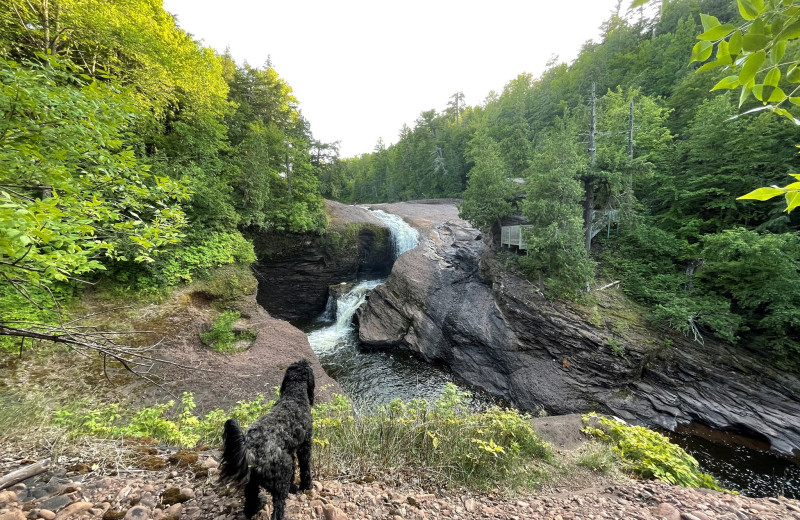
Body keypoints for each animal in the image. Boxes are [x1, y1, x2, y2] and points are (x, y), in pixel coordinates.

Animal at [223, 360, 318, 516]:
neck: (293, 397)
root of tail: (250, 449)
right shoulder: (304, 445)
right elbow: (305, 468)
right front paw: (306, 485)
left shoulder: (289, 450)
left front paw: (294, 486)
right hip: (281, 478)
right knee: (278, 510)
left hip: (252, 482)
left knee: (250, 500)